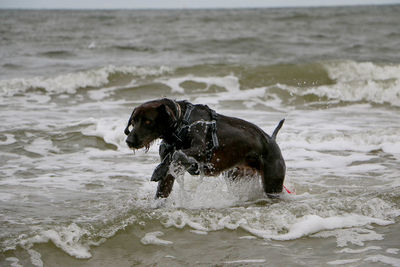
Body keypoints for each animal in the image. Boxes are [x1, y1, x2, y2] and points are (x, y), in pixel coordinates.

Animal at [125, 98, 284, 199]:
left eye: (147, 121)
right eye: (133, 121)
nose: (129, 141)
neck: (182, 124)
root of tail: (271, 139)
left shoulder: (201, 149)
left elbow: (176, 154)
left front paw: (158, 170)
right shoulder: (169, 175)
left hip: (272, 183)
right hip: (236, 176)